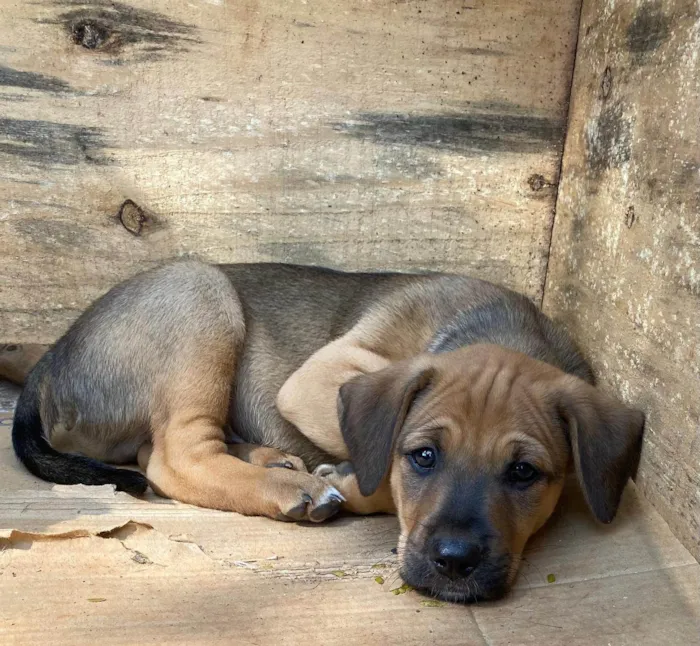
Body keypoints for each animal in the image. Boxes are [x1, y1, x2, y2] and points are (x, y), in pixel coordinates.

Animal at [8, 260, 644, 604]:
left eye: (524, 473)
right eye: (424, 456)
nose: (455, 564)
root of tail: (48, 365)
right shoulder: (317, 378)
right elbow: (375, 451)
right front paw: (351, 481)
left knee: (154, 449)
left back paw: (271, 459)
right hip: (199, 293)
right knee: (174, 457)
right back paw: (292, 487)